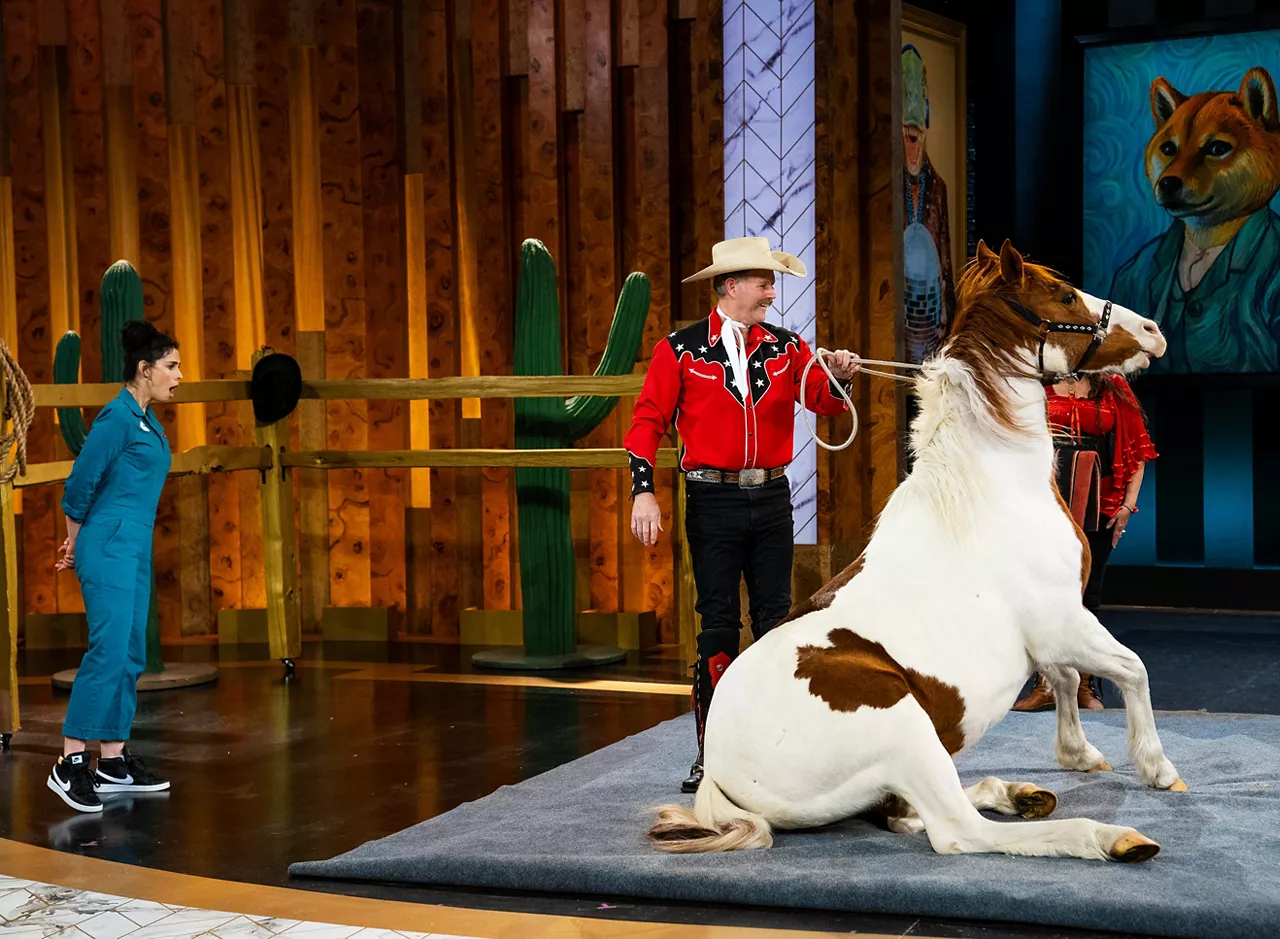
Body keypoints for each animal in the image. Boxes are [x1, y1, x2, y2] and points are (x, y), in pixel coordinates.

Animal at [655, 239, 1182, 864]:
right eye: (1062, 295)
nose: (1152, 330)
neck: (992, 487)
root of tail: (717, 771)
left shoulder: (1052, 627)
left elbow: (1066, 680)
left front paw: (1079, 755)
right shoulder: (1063, 620)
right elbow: (1130, 669)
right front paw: (1156, 767)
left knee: (909, 816)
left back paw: (1022, 793)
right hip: (906, 727)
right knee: (956, 831)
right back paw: (1110, 837)